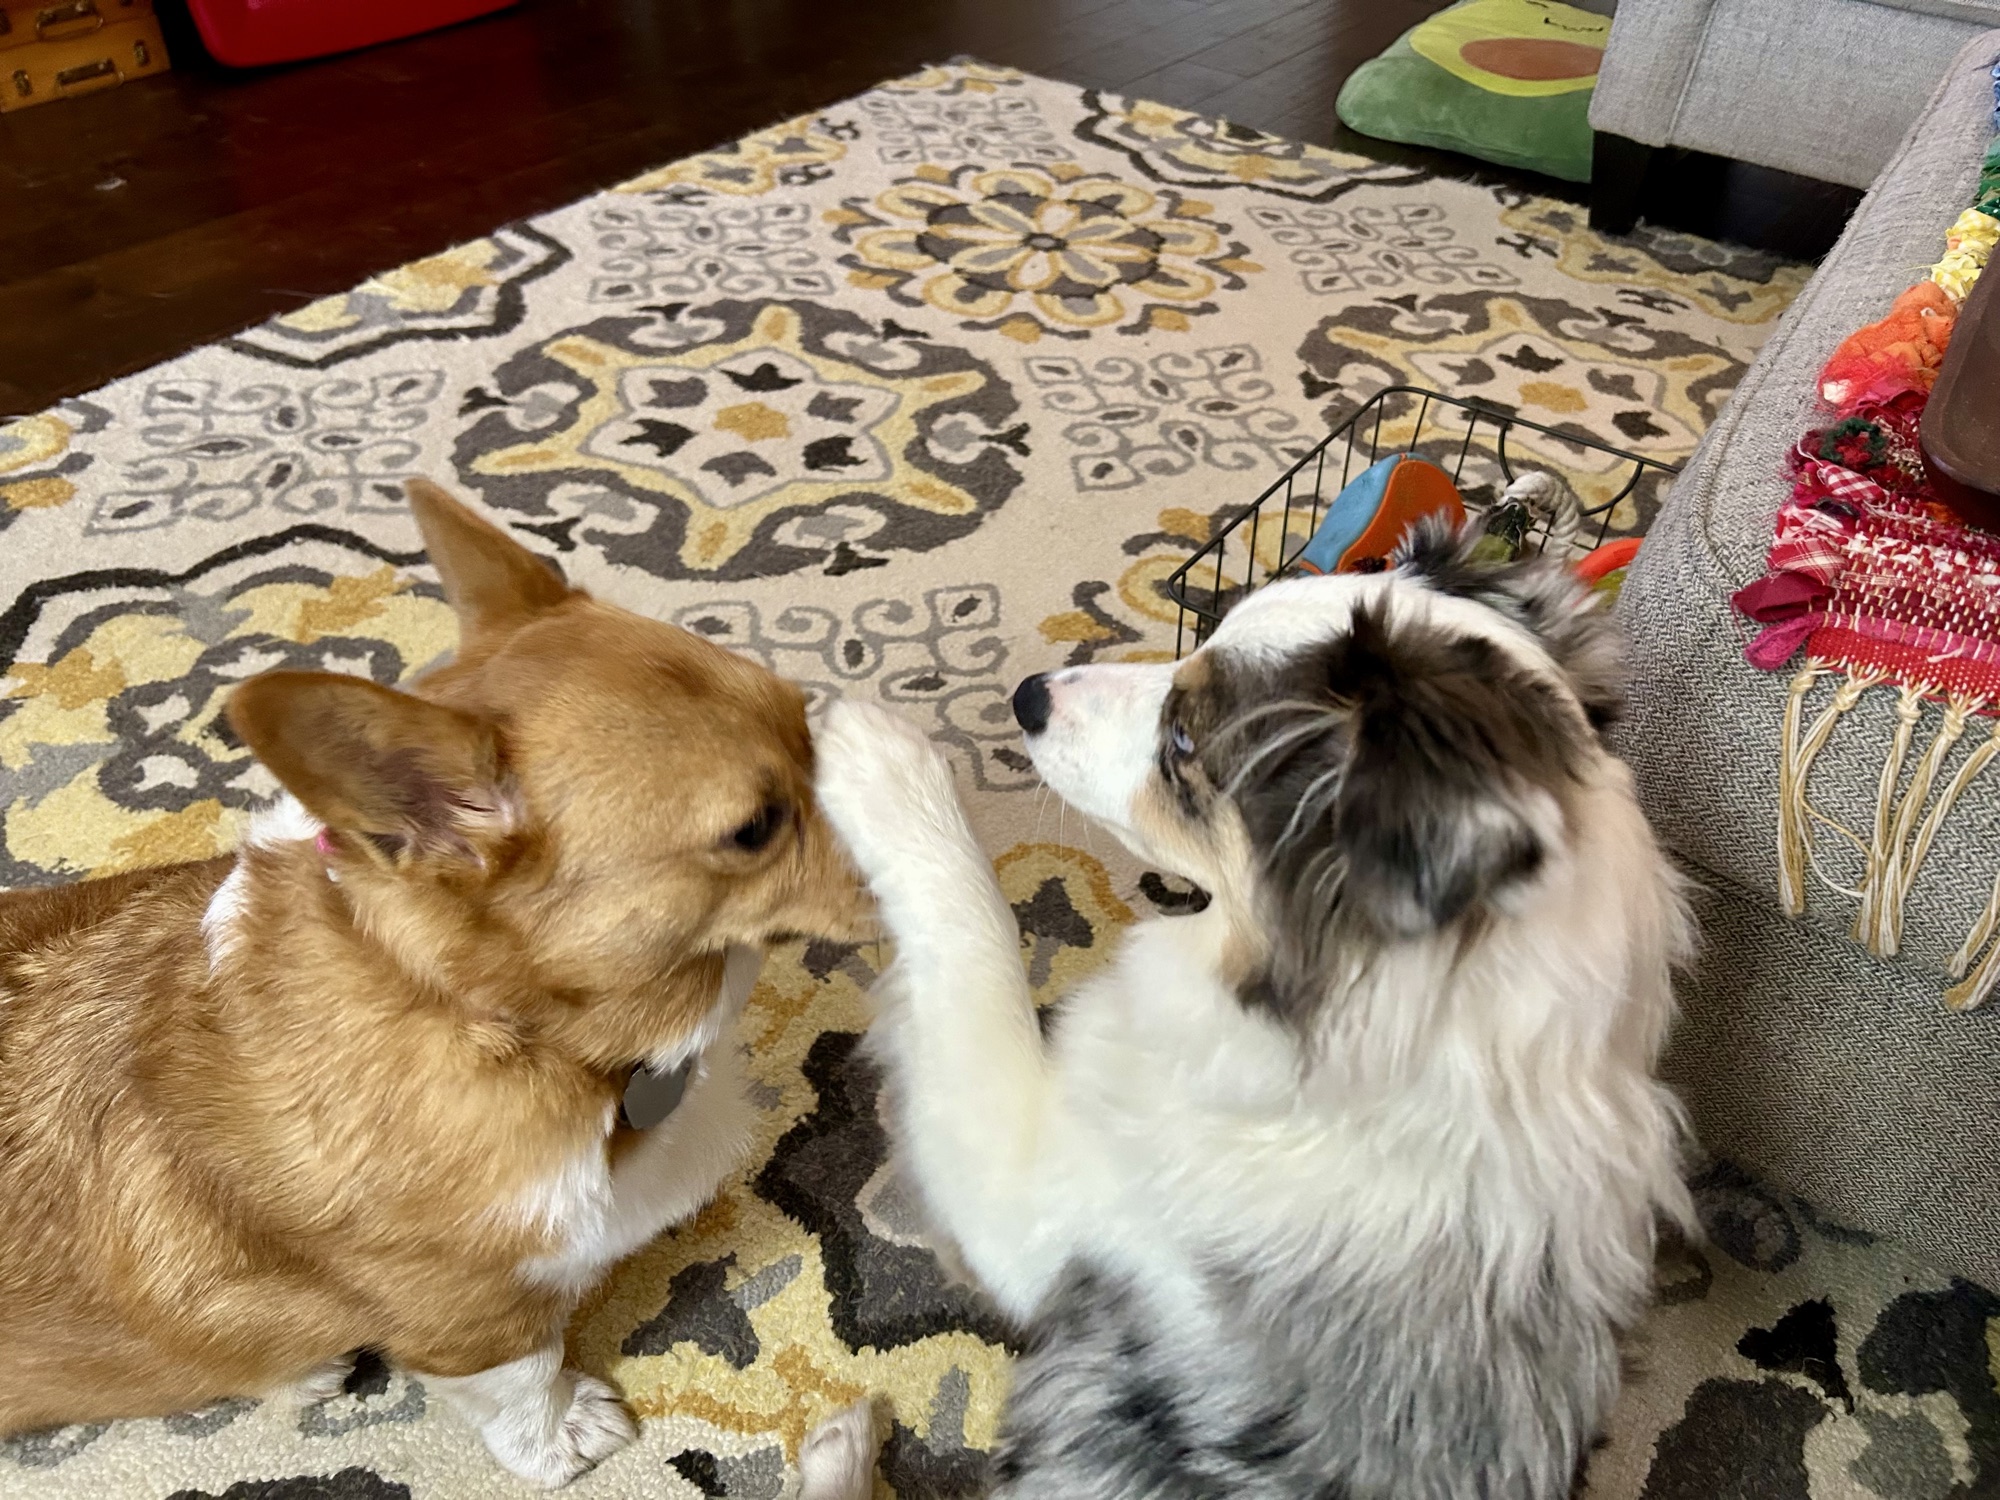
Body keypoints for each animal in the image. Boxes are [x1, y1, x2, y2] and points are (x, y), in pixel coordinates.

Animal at [0, 480, 868, 1487]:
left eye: (806, 721)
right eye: (756, 827)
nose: (947, 817)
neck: (504, 1028)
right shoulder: (468, 1322)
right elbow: (523, 1377)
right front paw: (564, 1436)